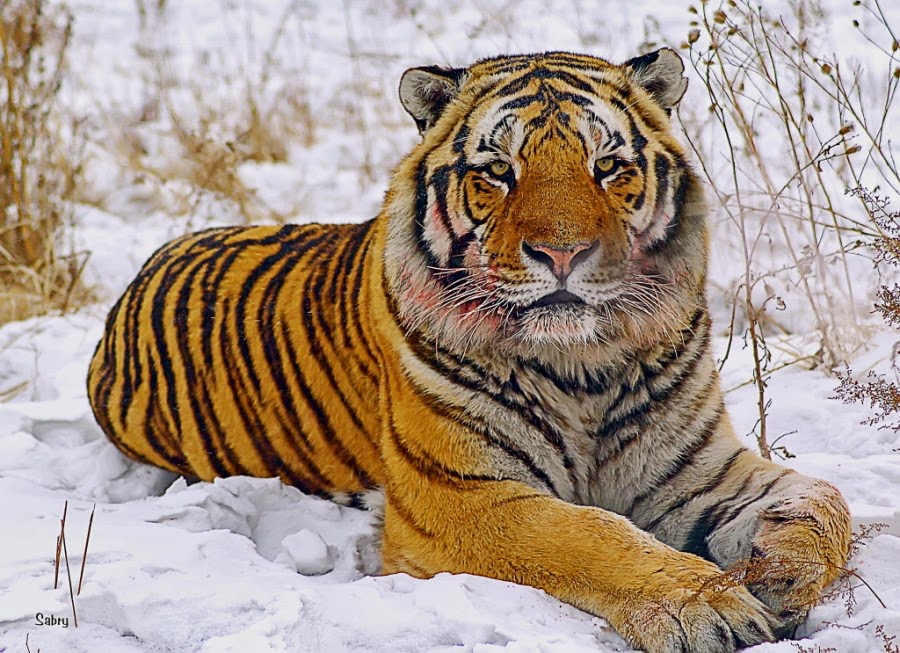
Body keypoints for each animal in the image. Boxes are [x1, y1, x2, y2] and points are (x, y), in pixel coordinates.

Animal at [87, 48, 851, 653]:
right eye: (498, 171)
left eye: (608, 166)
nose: (563, 254)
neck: (584, 366)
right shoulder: (459, 497)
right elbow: (589, 534)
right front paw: (710, 605)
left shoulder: (697, 471)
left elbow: (822, 500)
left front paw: (778, 572)